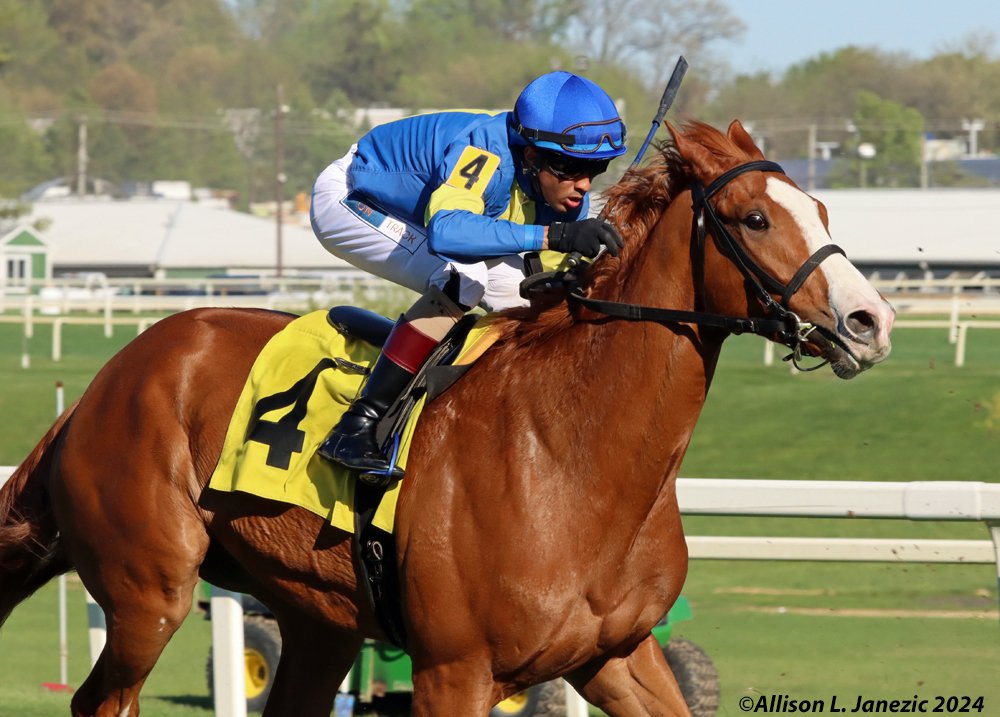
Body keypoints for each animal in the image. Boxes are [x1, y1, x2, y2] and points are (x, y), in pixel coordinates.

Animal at [0, 120, 892, 712]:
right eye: (755, 218)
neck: (569, 457)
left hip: (316, 619)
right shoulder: (454, 671)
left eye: (820, 207)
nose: (869, 319)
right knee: (101, 697)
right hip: (149, 590)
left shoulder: (614, 651)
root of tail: (104, 383)